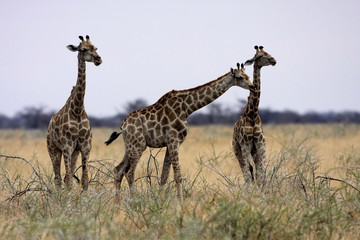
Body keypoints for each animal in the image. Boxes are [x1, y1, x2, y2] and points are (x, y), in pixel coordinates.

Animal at [46, 35, 102, 189]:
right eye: (83, 49)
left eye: (95, 47)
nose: (98, 59)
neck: (77, 109)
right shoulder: (67, 146)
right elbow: (70, 180)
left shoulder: (85, 147)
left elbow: (84, 179)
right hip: (53, 149)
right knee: (58, 178)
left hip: (74, 152)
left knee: (64, 177)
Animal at [105, 62, 255, 202]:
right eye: (240, 77)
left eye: (248, 75)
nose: (253, 86)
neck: (187, 107)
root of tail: (123, 126)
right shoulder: (174, 140)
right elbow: (178, 176)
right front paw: (180, 204)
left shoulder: (169, 143)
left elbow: (164, 176)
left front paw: (160, 201)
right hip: (138, 145)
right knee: (129, 173)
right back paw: (133, 201)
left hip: (130, 145)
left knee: (118, 170)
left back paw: (117, 204)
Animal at [233, 46, 276, 187]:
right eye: (259, 56)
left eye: (268, 52)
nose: (274, 60)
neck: (252, 114)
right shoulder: (245, 145)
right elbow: (249, 170)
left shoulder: (260, 145)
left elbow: (261, 171)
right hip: (237, 150)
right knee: (245, 169)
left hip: (254, 151)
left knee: (254, 170)